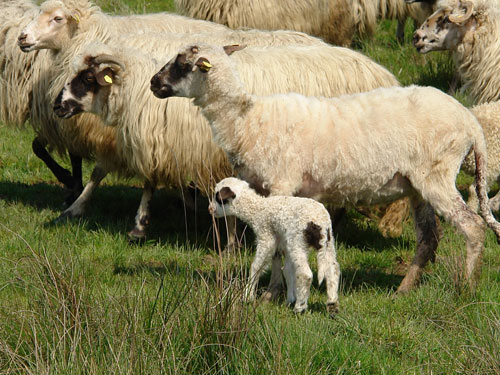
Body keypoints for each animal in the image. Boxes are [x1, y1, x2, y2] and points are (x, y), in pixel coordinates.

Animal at [150, 44, 500, 296]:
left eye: (182, 63)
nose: (153, 83)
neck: (245, 120)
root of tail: (471, 124)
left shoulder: (281, 185)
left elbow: (278, 246)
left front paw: (271, 293)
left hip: (437, 176)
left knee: (472, 227)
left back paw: (466, 288)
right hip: (418, 185)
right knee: (428, 238)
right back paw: (403, 289)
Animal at [207, 178, 340, 316]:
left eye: (217, 197)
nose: (210, 209)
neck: (258, 210)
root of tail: (319, 223)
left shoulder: (266, 237)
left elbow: (256, 266)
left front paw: (247, 297)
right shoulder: (284, 244)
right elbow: (288, 271)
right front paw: (290, 299)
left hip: (297, 241)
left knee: (305, 274)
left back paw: (299, 308)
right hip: (327, 242)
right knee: (333, 269)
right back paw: (332, 305)